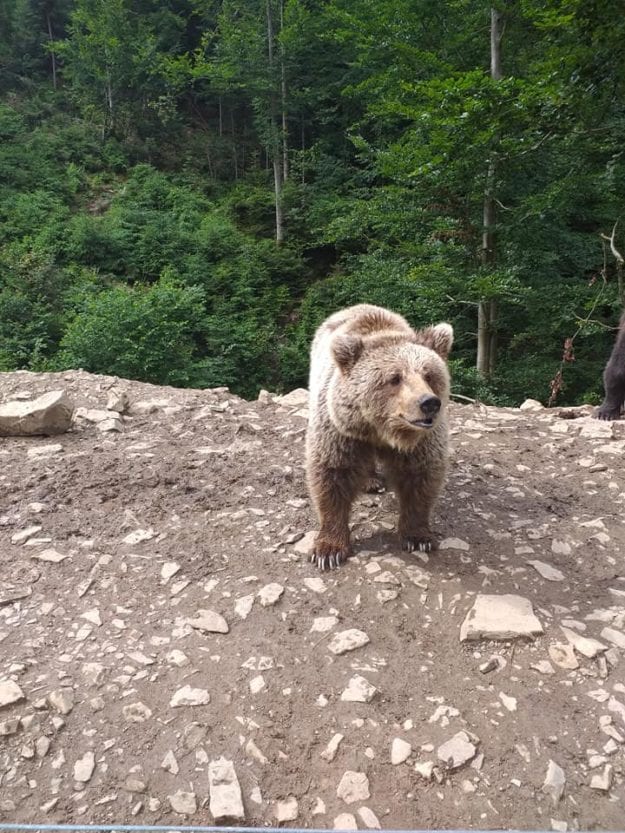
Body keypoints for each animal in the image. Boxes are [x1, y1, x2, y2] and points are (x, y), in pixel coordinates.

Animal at [304, 302, 450, 568]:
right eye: (395, 378)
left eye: (429, 375)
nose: (429, 403)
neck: (381, 430)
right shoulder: (341, 433)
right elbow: (332, 476)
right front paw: (328, 551)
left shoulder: (422, 442)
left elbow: (420, 478)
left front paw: (418, 538)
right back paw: (370, 481)